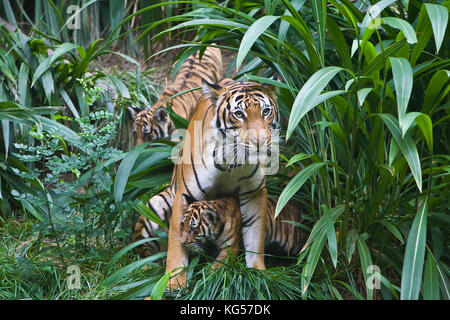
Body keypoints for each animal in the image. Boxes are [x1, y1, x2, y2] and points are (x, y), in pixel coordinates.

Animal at [163, 77, 280, 288]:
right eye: (239, 114)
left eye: (266, 111)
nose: (259, 142)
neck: (231, 162)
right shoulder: (184, 194)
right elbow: (175, 240)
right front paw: (174, 282)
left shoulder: (254, 194)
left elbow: (255, 235)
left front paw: (258, 273)